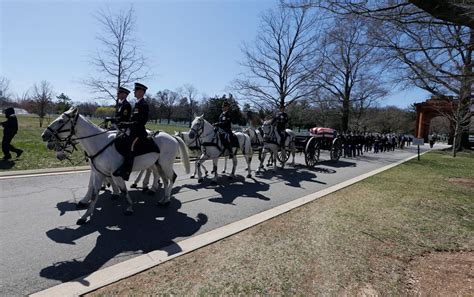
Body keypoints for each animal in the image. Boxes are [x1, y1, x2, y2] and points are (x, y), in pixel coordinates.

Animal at [40, 107, 189, 223]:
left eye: (61, 120)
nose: (44, 136)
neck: (98, 142)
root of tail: (172, 137)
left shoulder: (116, 174)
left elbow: (123, 190)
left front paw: (128, 206)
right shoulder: (98, 172)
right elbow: (94, 192)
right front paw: (85, 214)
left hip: (165, 164)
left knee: (172, 177)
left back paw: (165, 199)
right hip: (158, 164)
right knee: (164, 179)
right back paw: (162, 198)